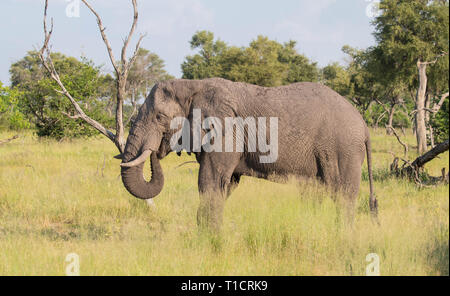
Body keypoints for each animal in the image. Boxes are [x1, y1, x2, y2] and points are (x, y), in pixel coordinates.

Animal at [118, 77, 376, 230]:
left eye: (159, 117)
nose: (155, 151)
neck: (193, 85)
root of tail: (364, 126)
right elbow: (227, 183)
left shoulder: (226, 131)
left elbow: (210, 181)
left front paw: (208, 238)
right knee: (315, 192)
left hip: (342, 149)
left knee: (342, 195)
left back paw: (342, 234)